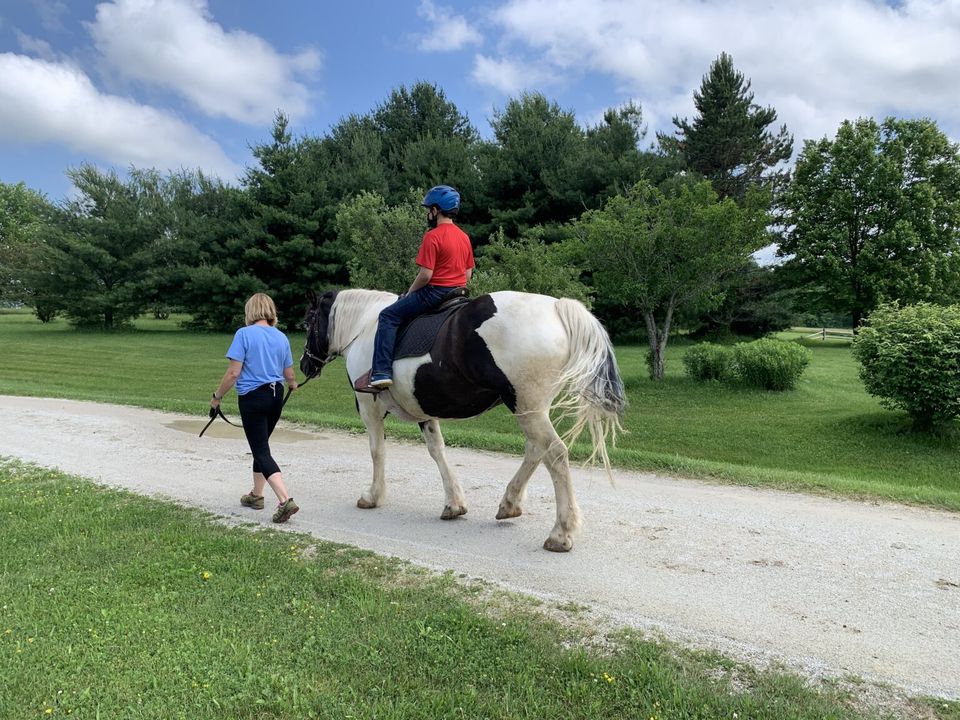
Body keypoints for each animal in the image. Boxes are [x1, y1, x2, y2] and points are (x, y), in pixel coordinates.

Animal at [302, 288, 632, 552]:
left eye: (308, 322)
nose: (305, 364)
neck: (366, 324)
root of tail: (556, 307)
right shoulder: (425, 410)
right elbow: (438, 451)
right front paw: (454, 503)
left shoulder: (368, 407)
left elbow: (377, 451)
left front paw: (373, 496)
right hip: (531, 408)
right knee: (536, 450)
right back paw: (510, 504)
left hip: (526, 405)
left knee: (555, 454)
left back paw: (560, 533)